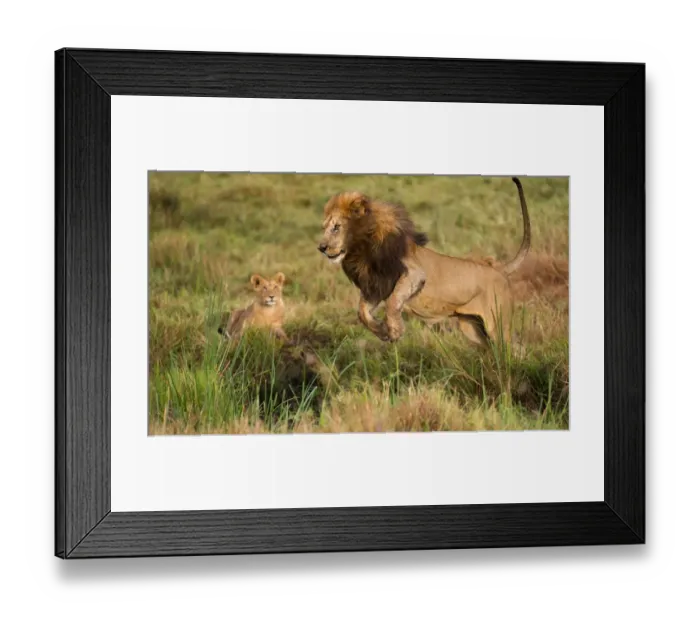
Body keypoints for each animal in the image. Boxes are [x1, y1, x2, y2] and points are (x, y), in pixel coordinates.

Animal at [317, 177, 531, 349]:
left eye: (336, 227)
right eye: (324, 228)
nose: (321, 247)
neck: (361, 252)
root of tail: (498, 269)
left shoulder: (413, 273)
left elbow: (393, 302)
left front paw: (395, 330)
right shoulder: (377, 285)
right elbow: (362, 312)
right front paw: (382, 331)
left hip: (498, 325)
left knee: (516, 349)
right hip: (472, 328)